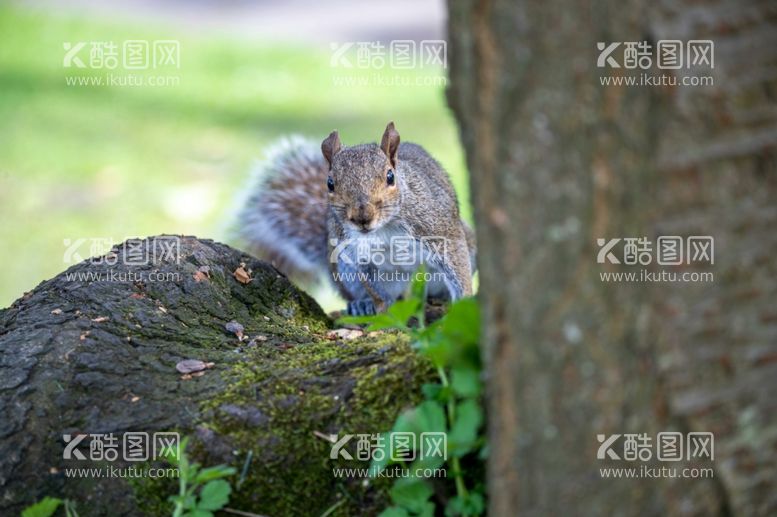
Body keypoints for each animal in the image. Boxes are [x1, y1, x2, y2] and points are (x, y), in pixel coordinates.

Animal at [236, 122, 472, 314]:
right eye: (330, 183)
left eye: (390, 176)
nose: (362, 218)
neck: (384, 228)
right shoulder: (356, 253)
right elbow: (373, 286)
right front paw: (382, 307)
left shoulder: (440, 230)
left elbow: (458, 267)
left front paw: (465, 303)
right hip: (342, 267)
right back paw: (361, 304)